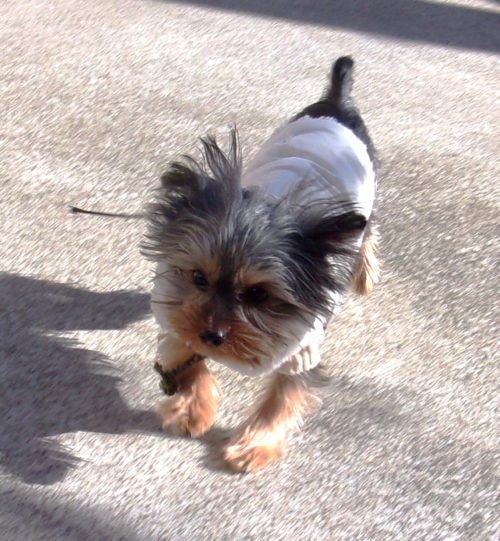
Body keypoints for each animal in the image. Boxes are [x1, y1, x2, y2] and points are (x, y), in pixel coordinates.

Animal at [142, 56, 379, 472]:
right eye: (198, 277)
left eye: (259, 294)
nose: (212, 336)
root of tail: (336, 105)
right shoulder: (178, 317)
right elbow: (185, 360)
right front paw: (191, 411)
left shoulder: (303, 346)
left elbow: (283, 395)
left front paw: (254, 445)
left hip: (361, 204)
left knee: (366, 231)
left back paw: (364, 274)